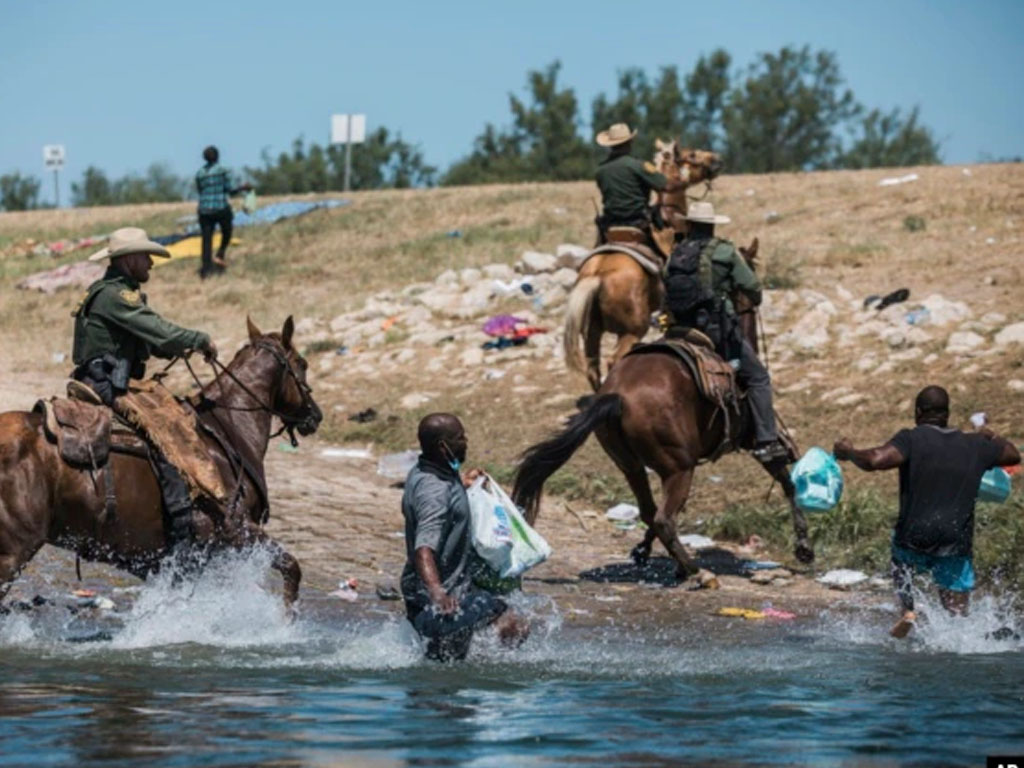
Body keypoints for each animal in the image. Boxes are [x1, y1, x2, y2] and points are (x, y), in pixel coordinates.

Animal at [0, 317, 319, 614]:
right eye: (302, 363)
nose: (316, 416)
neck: (227, 430)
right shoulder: (237, 530)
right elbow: (291, 567)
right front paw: (286, 622)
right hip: (13, 552)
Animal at [516, 348, 811, 577]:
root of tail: (618, 397)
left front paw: (642, 550)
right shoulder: (753, 438)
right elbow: (787, 482)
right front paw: (804, 547)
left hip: (632, 466)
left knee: (650, 510)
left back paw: (673, 561)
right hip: (680, 469)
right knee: (663, 518)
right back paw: (694, 571)